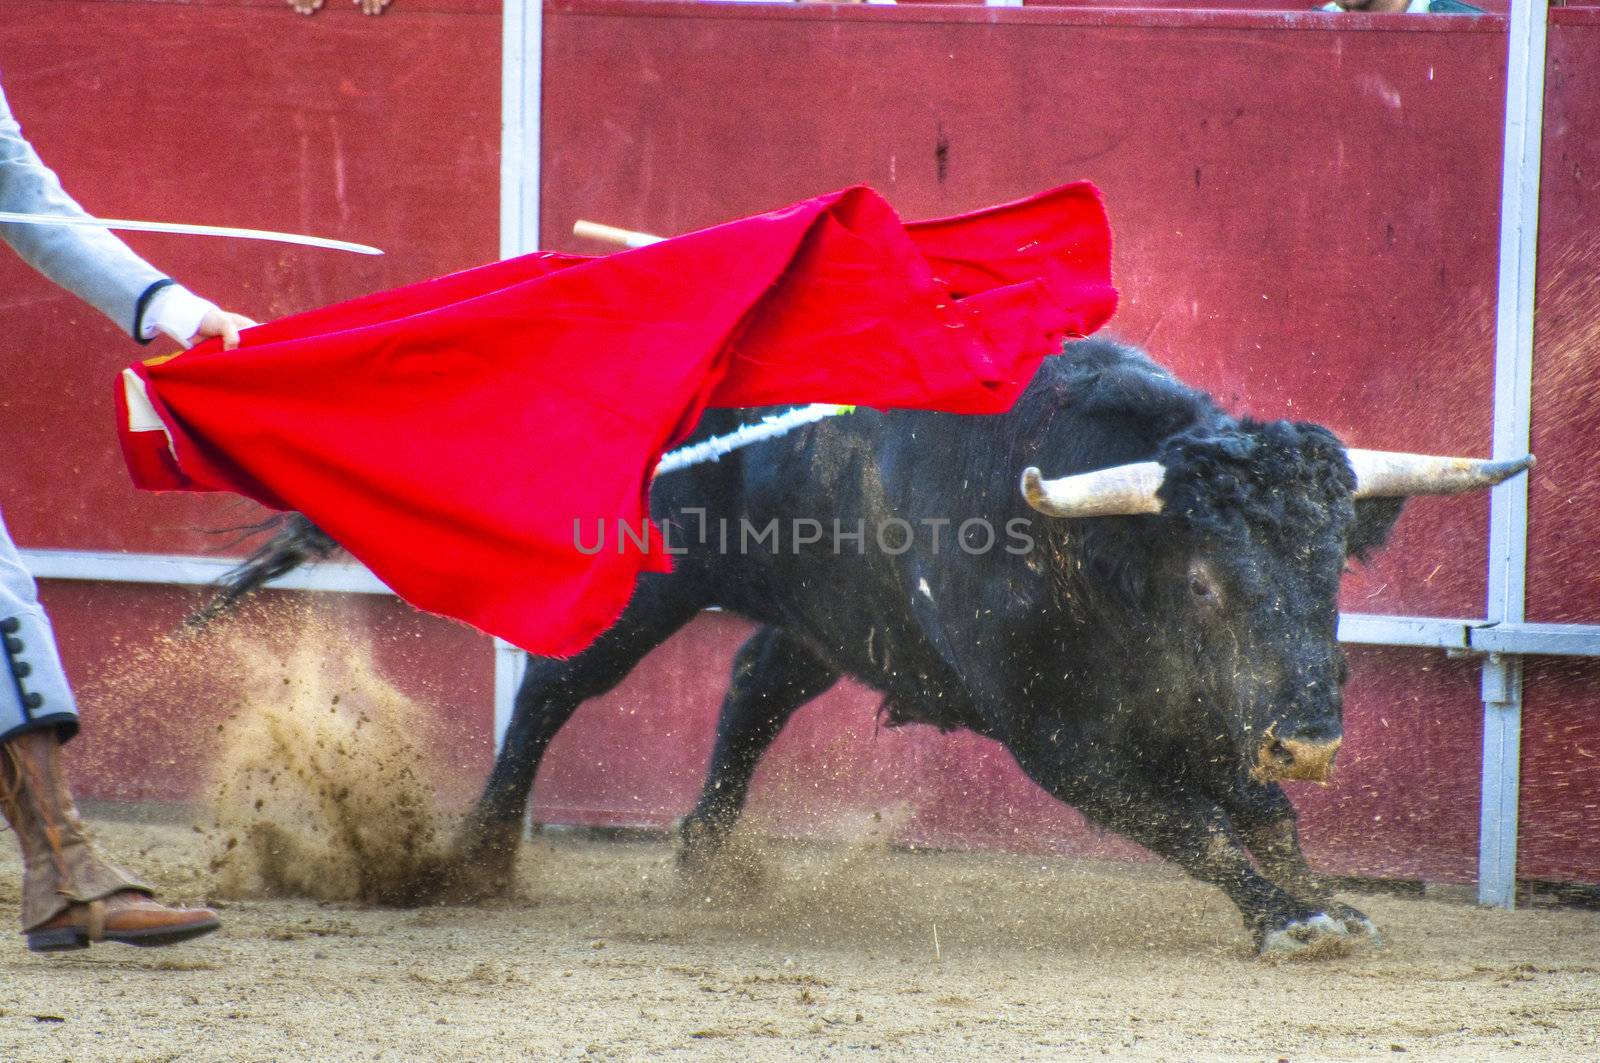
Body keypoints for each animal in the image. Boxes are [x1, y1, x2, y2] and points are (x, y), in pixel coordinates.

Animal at [212, 337, 1523, 954]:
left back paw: (707, 861)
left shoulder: (1213, 715)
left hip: (832, 614)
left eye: (1331, 565)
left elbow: (1257, 813)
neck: (1099, 559)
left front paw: (1323, 899)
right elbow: (1189, 828)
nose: (1312, 737)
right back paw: (478, 859)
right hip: (644, 582)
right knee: (552, 689)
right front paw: (1287, 919)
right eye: (1205, 578)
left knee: (750, 685)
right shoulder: (1059, 741)